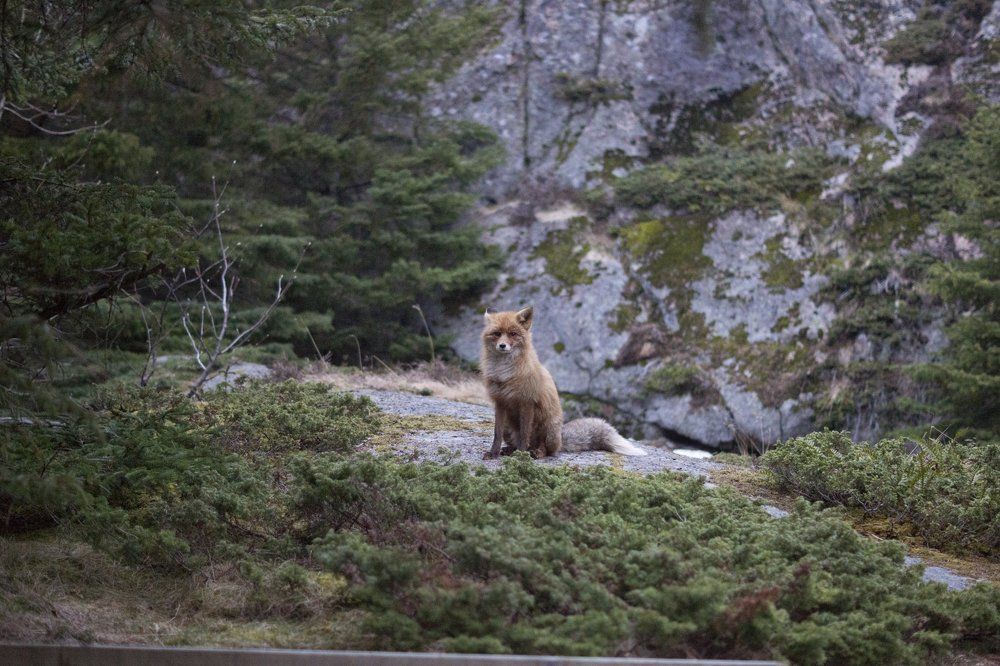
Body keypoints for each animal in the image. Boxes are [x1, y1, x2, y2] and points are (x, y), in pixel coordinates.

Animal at [480, 306, 646, 459]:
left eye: (513, 334)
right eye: (497, 334)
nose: (502, 346)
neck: (504, 373)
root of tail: (561, 438)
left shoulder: (527, 402)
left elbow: (524, 434)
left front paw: (521, 456)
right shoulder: (500, 402)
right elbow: (496, 434)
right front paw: (493, 453)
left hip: (549, 431)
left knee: (546, 450)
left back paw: (535, 452)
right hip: (509, 427)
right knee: (516, 442)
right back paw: (510, 450)